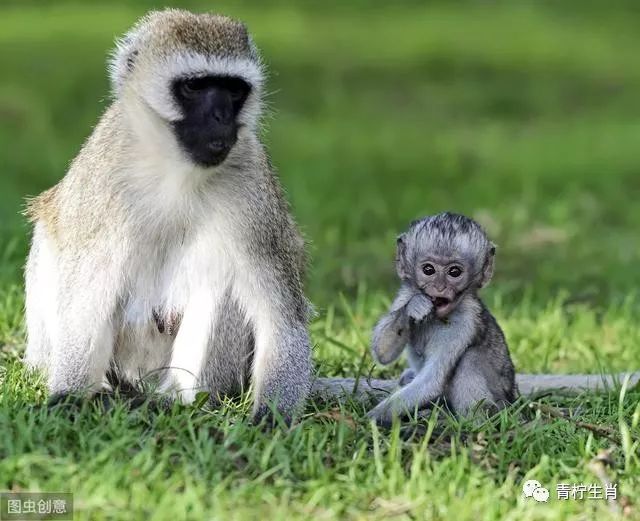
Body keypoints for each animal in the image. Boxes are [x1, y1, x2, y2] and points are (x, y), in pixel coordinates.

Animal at [368, 211, 516, 422]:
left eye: (454, 272)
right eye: (428, 270)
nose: (439, 287)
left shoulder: (464, 320)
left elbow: (432, 381)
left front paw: (370, 418)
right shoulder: (405, 294)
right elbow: (383, 352)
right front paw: (415, 307)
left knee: (469, 359)